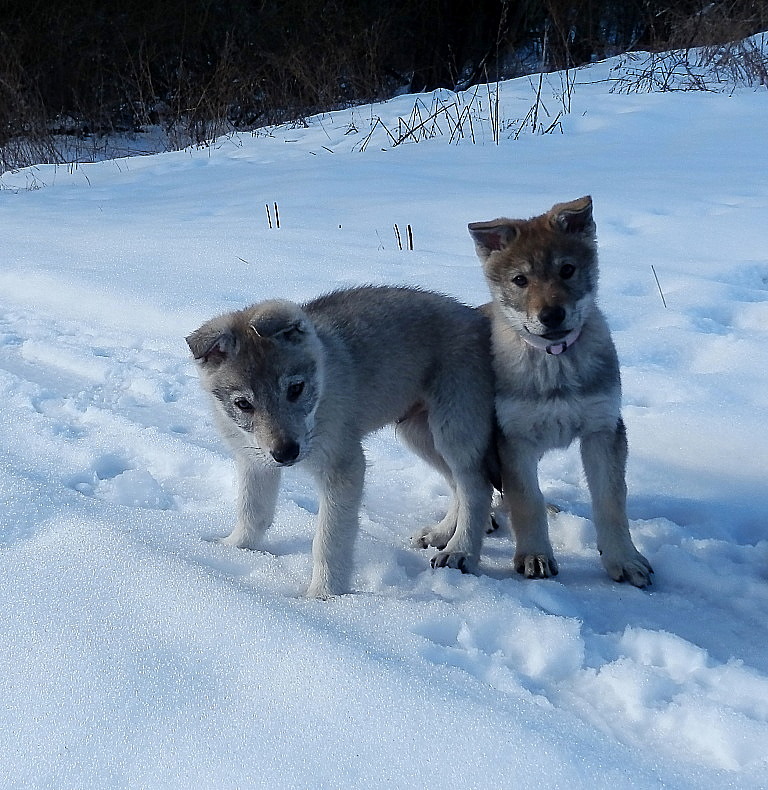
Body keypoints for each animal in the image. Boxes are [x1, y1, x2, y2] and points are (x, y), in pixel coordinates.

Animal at [189, 284, 496, 600]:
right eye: (243, 404)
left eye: (296, 388)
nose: (286, 453)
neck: (322, 390)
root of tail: (478, 317)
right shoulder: (255, 460)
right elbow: (253, 512)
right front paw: (232, 548)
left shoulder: (344, 466)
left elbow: (329, 540)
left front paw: (324, 594)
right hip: (419, 433)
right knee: (457, 484)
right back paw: (441, 533)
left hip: (453, 427)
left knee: (476, 488)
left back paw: (460, 551)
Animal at [464, 195, 652, 584]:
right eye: (520, 280)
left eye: (567, 270)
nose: (551, 315)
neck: (556, 365)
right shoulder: (514, 438)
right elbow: (526, 501)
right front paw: (534, 555)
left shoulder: (603, 430)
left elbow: (611, 502)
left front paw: (624, 559)